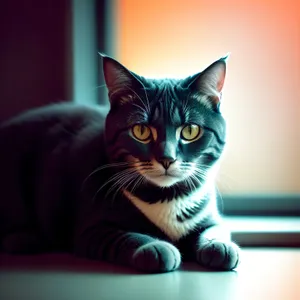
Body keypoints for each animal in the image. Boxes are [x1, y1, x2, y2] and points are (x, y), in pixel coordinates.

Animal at [0, 54, 239, 272]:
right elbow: (126, 237)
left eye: (190, 131)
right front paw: (156, 247)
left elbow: (215, 229)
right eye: (141, 131)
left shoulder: (211, 217)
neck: (167, 197)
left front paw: (220, 245)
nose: (167, 158)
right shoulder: (91, 229)